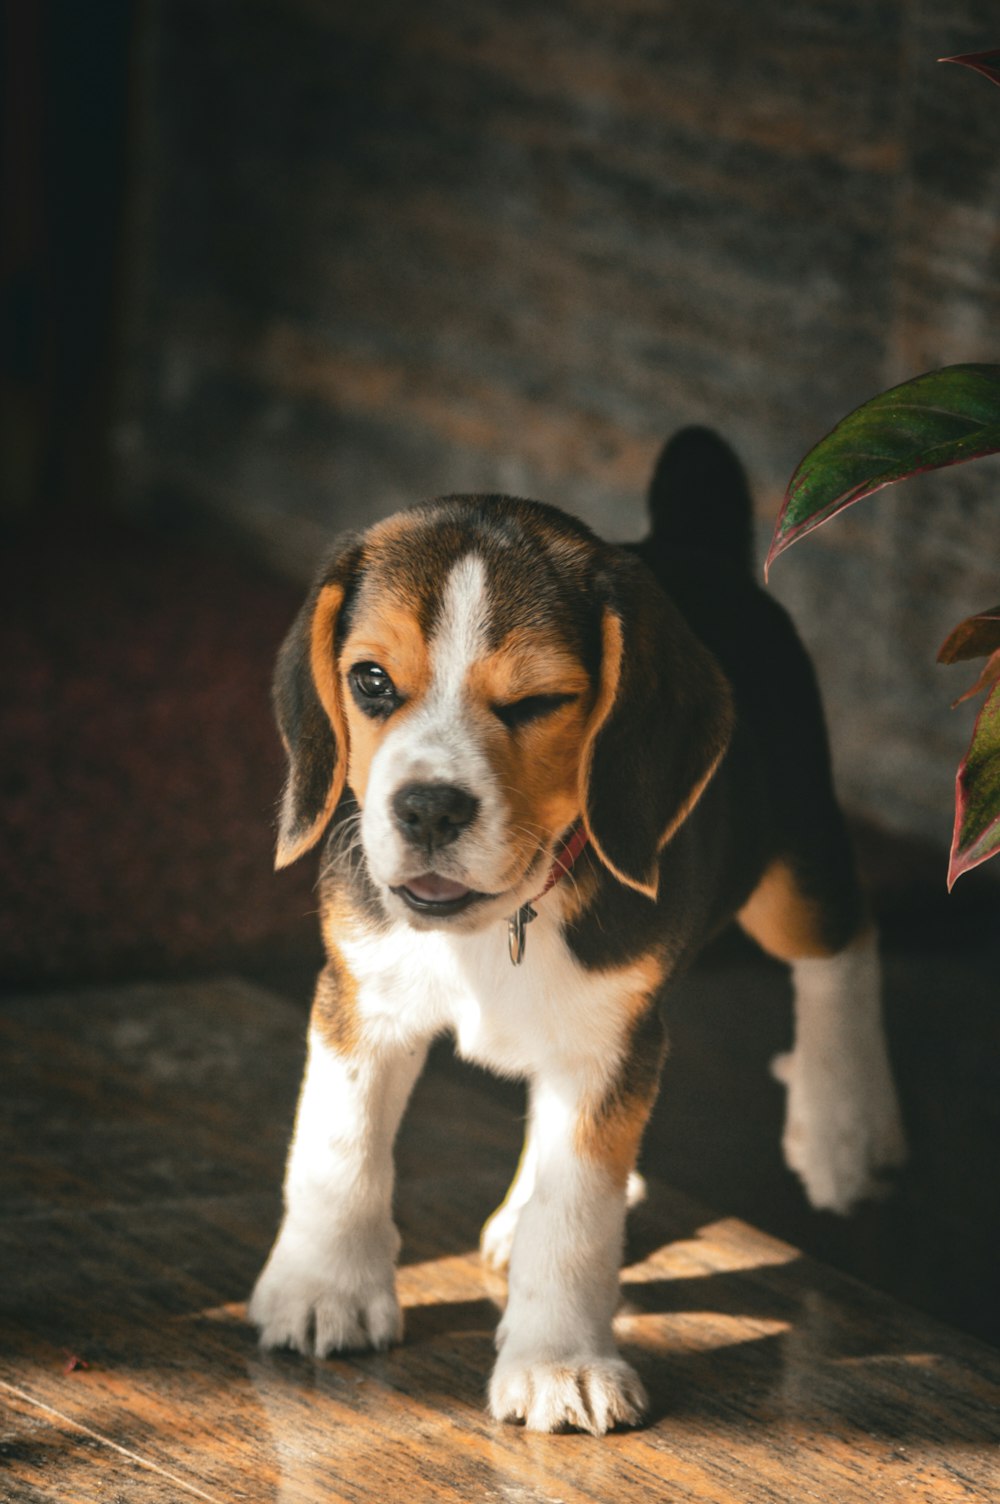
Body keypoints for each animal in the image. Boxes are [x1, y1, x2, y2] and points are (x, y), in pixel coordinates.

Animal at [249, 427, 902, 1431]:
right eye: (371, 682)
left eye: (535, 704)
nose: (428, 807)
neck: (508, 913)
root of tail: (692, 542)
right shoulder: (362, 995)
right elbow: (339, 1146)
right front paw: (325, 1289)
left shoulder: (611, 1038)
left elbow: (577, 1213)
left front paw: (561, 1363)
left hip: (790, 859)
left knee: (842, 941)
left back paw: (843, 1127)